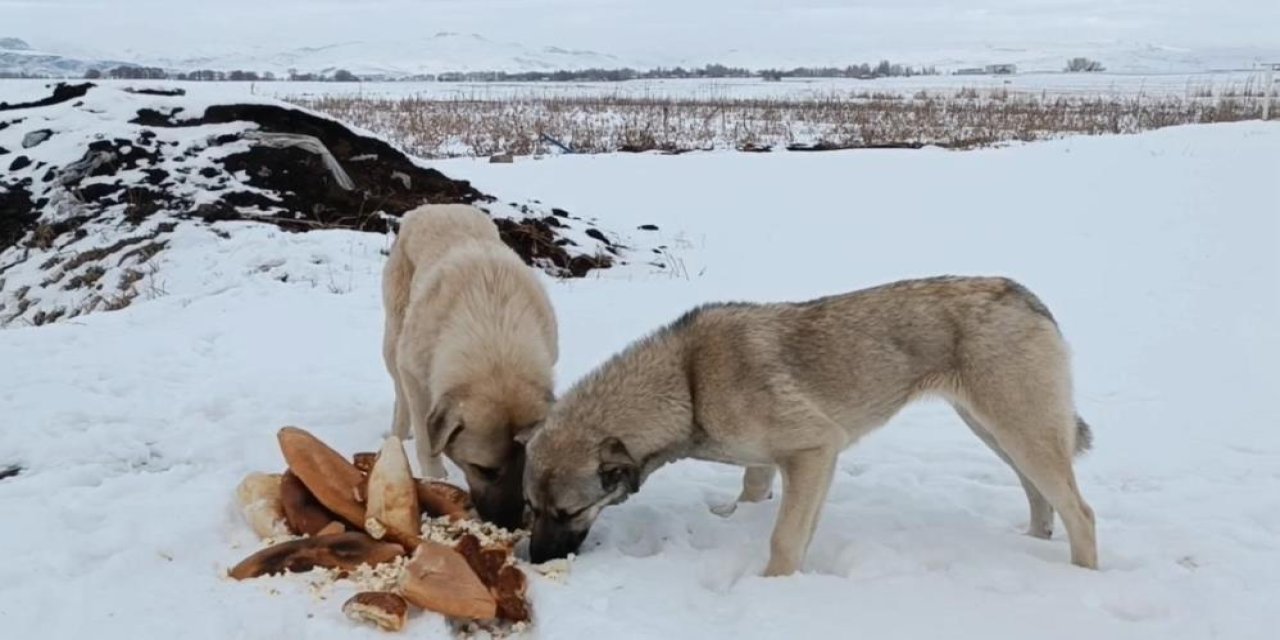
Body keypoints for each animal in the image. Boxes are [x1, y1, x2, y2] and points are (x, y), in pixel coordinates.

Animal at [381, 204, 558, 529]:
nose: (509, 523)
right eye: (483, 469)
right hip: (393, 341)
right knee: (400, 396)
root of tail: (433, 206)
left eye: (527, 469)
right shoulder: (416, 377)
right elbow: (426, 443)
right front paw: (433, 480)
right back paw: (397, 436)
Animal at [524, 277, 1095, 578]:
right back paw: (1034, 543)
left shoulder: (815, 450)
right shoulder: (777, 464)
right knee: (1040, 495)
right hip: (997, 430)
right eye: (530, 509)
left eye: (568, 512)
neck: (686, 382)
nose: (535, 559)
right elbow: (757, 497)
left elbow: (783, 539)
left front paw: (774, 586)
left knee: (1080, 512)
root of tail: (1025, 294)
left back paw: (1079, 572)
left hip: (1021, 429)